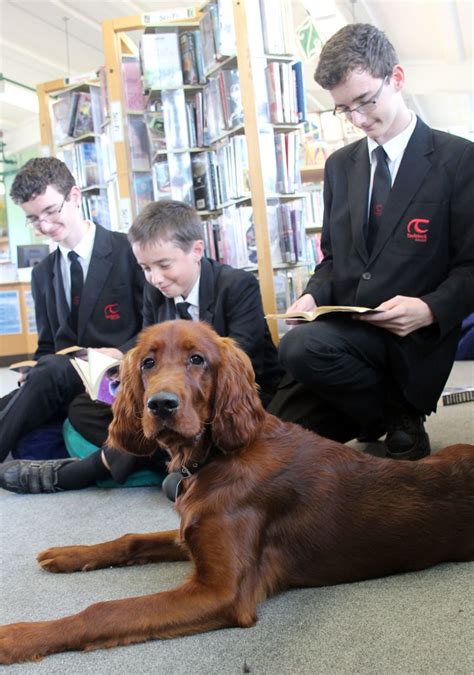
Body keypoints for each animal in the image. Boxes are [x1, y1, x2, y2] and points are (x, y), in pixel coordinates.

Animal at [0, 320, 474, 664]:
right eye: (148, 363)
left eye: (197, 359)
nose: (161, 405)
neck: (212, 457)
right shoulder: (189, 534)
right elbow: (131, 539)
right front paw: (69, 554)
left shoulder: (222, 592)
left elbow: (104, 610)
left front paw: (19, 636)